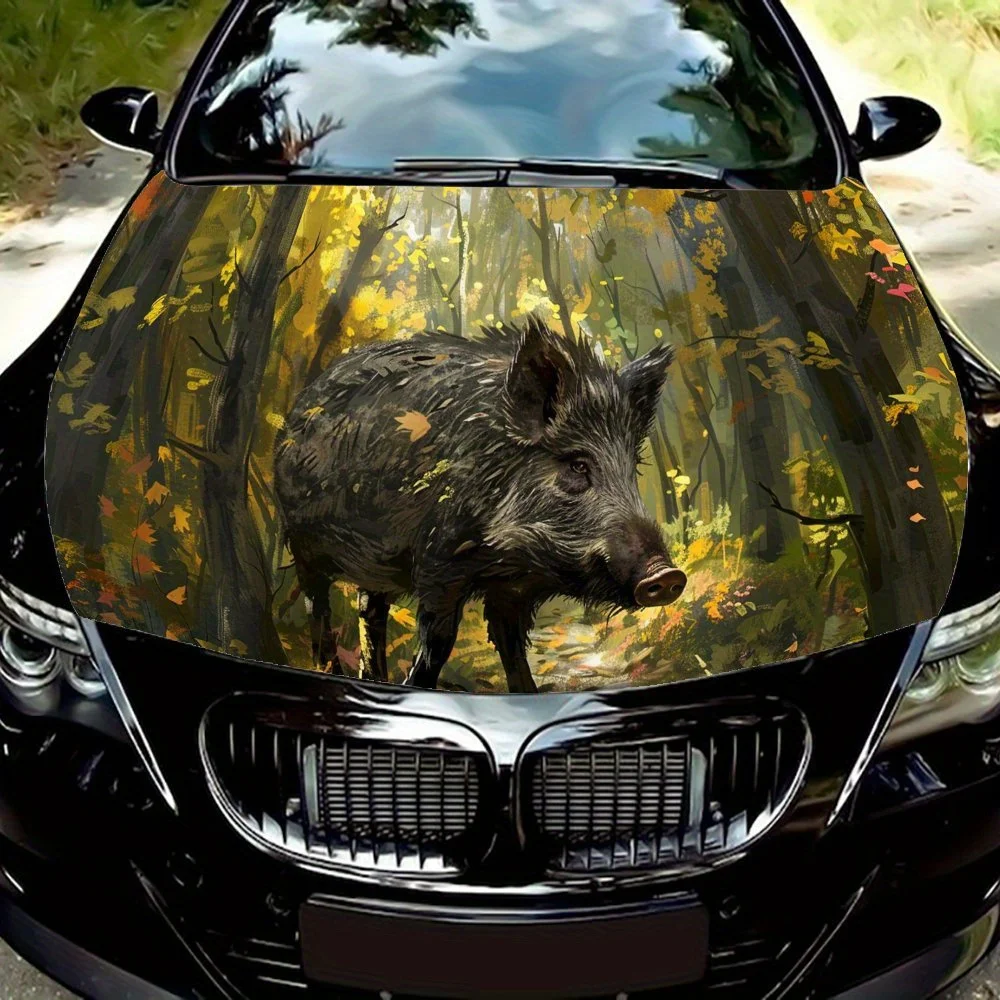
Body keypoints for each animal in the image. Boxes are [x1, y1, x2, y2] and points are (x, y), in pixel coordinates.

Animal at [273, 316, 686, 693]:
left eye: (632, 467)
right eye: (578, 464)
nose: (667, 576)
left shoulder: (512, 590)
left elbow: (514, 651)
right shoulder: (437, 563)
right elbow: (438, 644)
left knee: (369, 612)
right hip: (302, 542)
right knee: (318, 606)